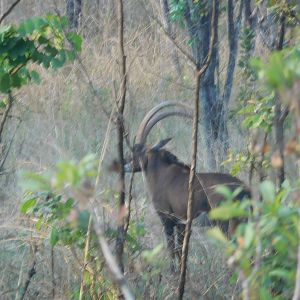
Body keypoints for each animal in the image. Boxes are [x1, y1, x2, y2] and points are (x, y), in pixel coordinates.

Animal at [122, 102, 251, 266]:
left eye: (136, 150)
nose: (124, 162)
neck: (161, 173)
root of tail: (244, 188)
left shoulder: (167, 220)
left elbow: (172, 250)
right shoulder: (182, 223)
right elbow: (180, 250)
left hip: (226, 223)